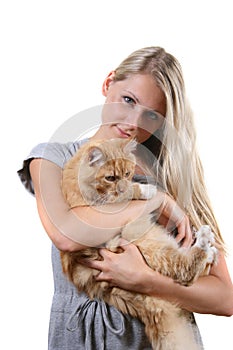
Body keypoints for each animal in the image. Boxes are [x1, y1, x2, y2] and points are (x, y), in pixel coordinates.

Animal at [60, 139, 217, 350]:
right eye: (110, 177)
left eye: (127, 173)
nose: (122, 186)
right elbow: (127, 194)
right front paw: (146, 191)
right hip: (153, 246)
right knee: (187, 271)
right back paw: (205, 239)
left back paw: (209, 248)